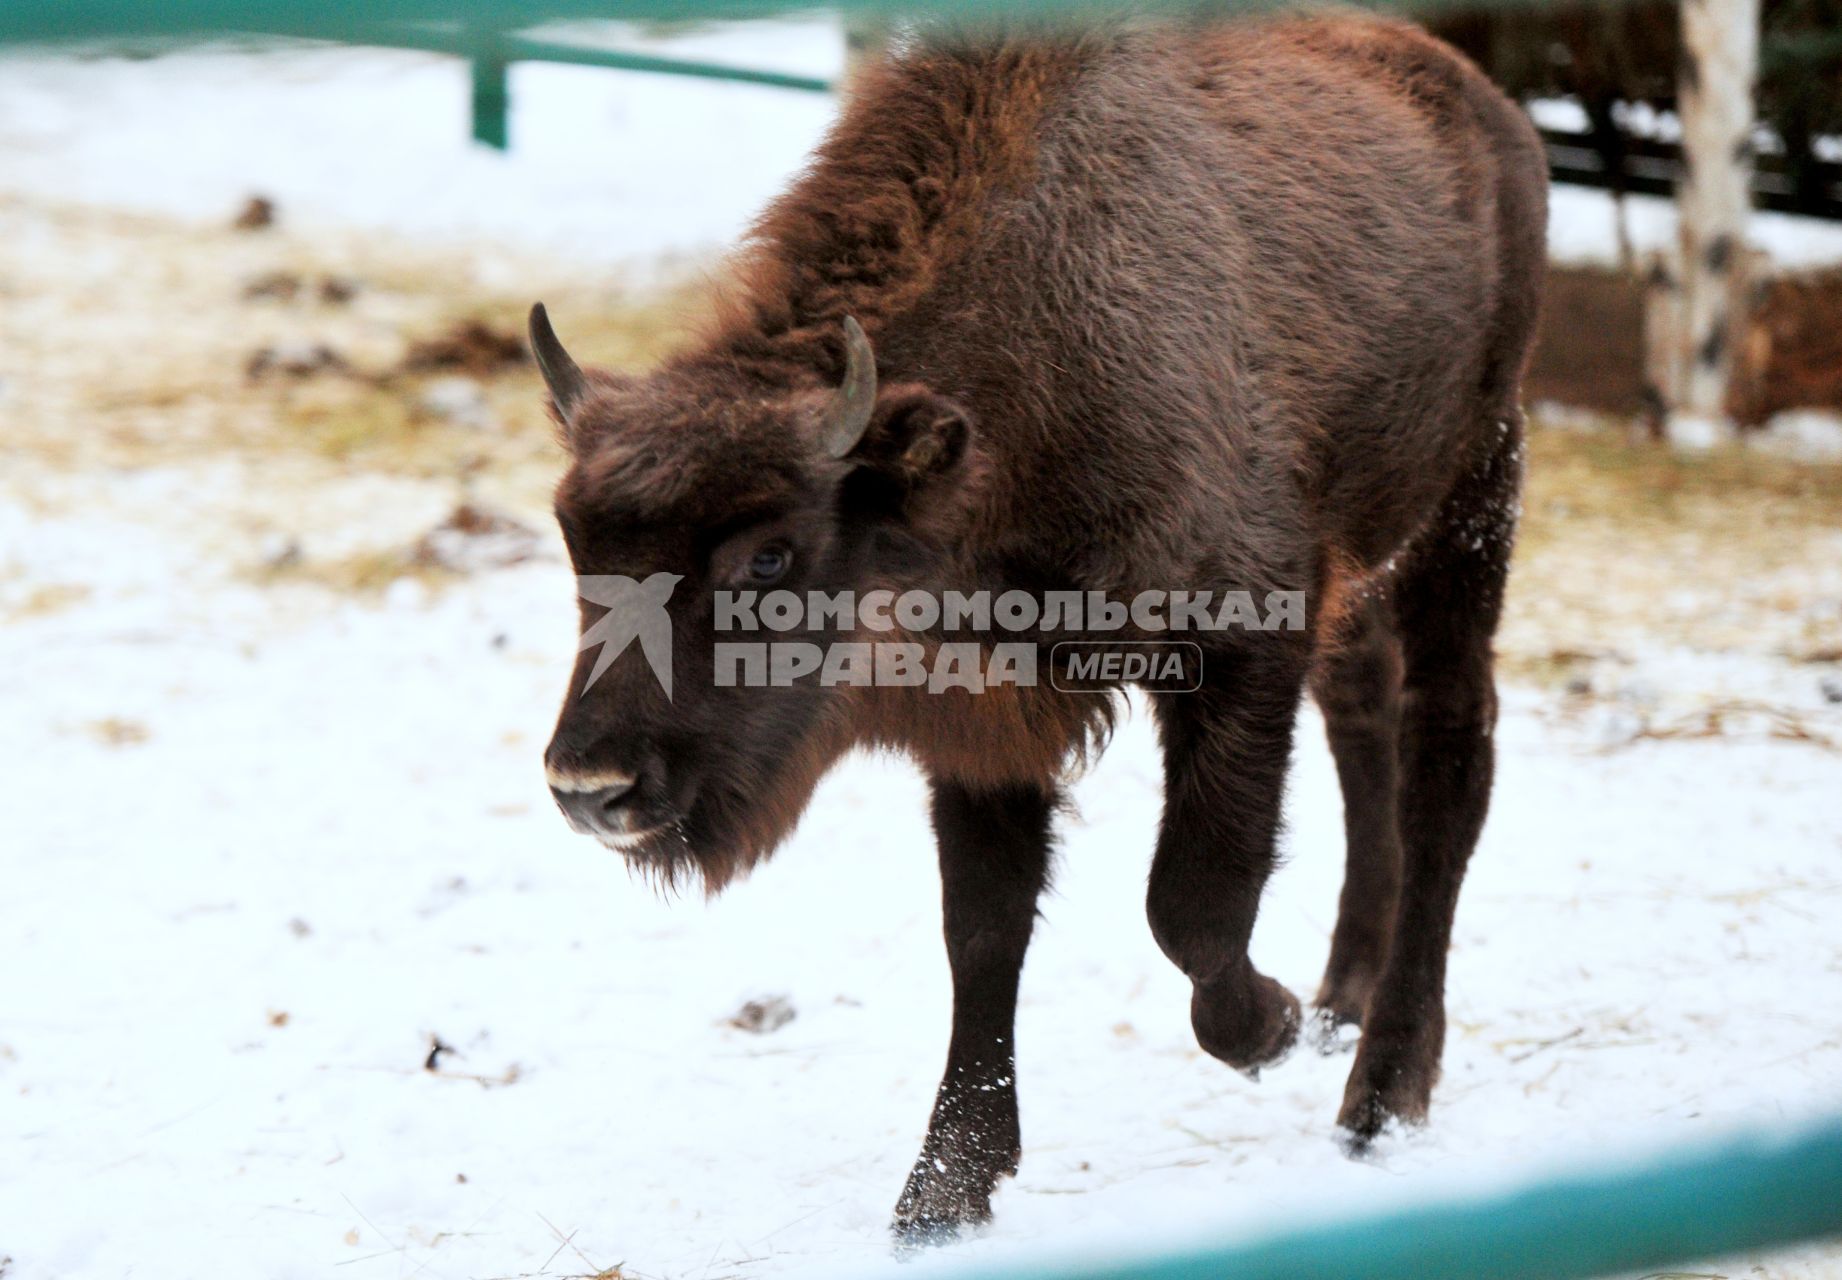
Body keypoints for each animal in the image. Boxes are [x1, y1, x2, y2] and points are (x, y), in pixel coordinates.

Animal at [537, 14, 1547, 1245]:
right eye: (575, 540)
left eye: (769, 552)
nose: (591, 787)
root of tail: (1481, 101)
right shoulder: (983, 727)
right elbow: (983, 932)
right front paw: (942, 1194)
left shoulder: (1239, 649)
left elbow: (1192, 899)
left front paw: (1264, 1026)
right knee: (1366, 729)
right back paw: (1342, 1004)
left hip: (1472, 494)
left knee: (1447, 756)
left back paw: (1381, 1093)